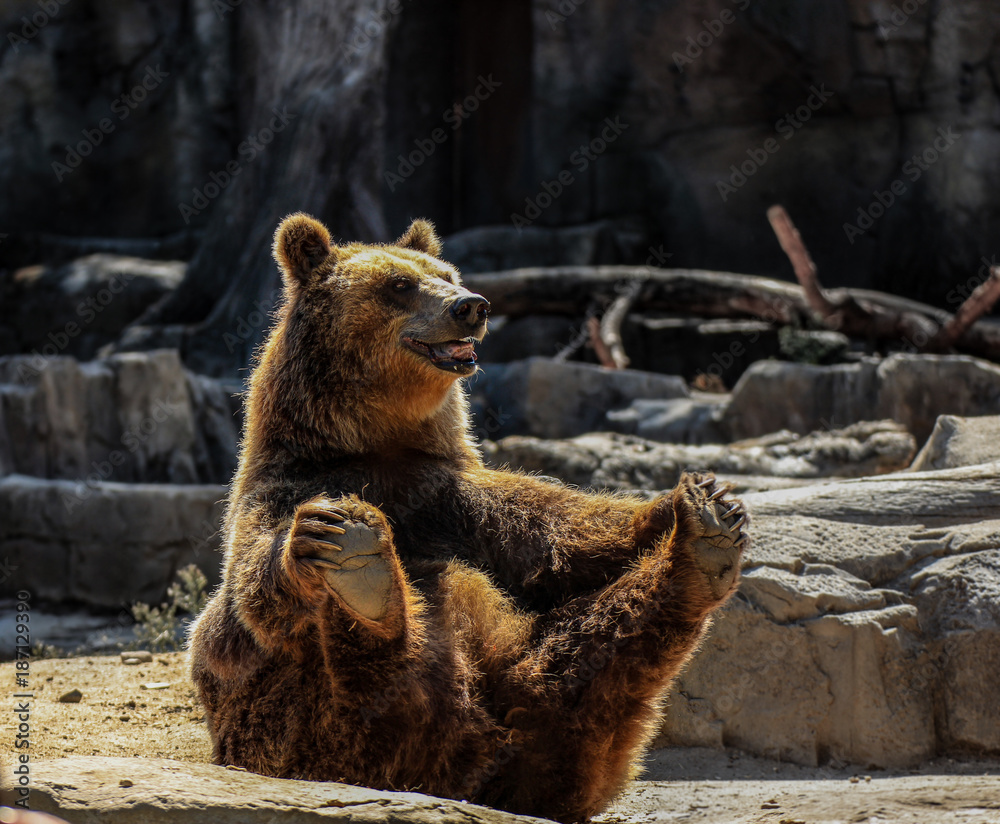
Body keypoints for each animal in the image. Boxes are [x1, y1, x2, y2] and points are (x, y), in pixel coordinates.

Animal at [189, 214, 752, 824]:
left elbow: (560, 534)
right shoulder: (293, 485)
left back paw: (704, 544)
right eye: (399, 285)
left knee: (596, 655)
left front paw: (697, 496)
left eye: (447, 274)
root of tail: (460, 770)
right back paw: (361, 573)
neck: (375, 441)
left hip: (536, 695)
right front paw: (335, 535)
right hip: (302, 727)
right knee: (363, 680)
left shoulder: (452, 497)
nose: (470, 306)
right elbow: (253, 593)